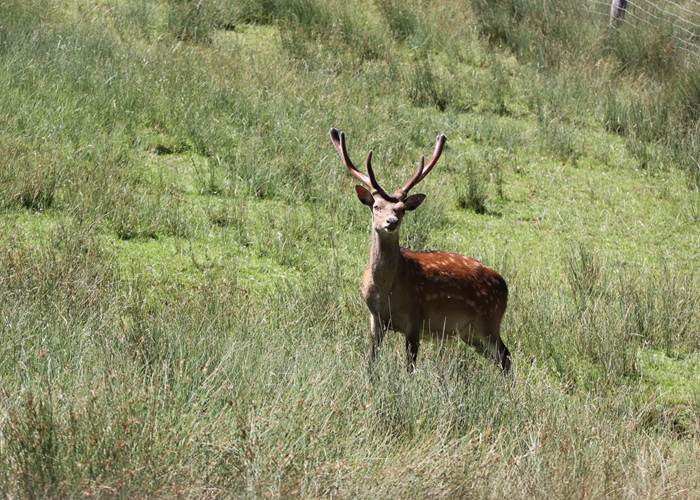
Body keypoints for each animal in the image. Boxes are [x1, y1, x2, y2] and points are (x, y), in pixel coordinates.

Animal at [330, 128, 511, 373]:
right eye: (376, 206)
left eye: (401, 209)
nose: (391, 222)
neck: (386, 292)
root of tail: (505, 285)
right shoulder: (374, 318)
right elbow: (371, 361)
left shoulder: (416, 318)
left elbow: (410, 366)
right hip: (471, 333)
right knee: (501, 359)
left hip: (489, 322)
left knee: (506, 356)